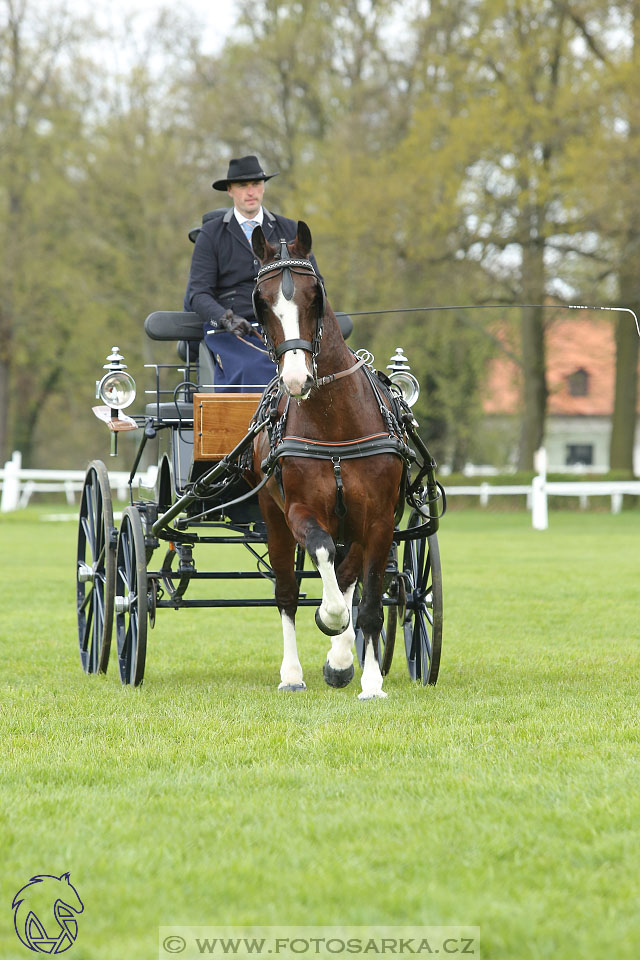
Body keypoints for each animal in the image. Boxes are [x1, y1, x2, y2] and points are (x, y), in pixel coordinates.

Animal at [250, 219, 404, 696]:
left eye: (313, 295)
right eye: (261, 302)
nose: (296, 378)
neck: (337, 424)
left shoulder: (380, 519)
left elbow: (369, 602)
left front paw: (368, 681)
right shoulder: (300, 510)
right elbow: (320, 554)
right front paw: (330, 616)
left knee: (350, 573)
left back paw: (341, 660)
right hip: (273, 518)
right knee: (286, 592)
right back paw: (292, 675)